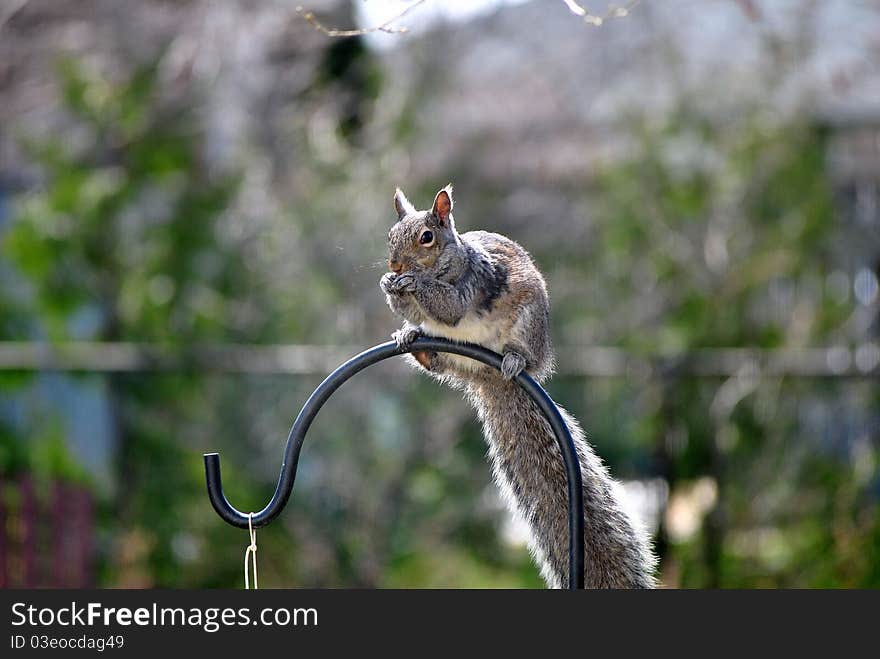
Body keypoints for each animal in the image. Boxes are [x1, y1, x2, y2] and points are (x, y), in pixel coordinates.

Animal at [382, 184, 656, 588]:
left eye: (426, 237)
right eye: (390, 236)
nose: (396, 267)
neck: (450, 261)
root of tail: (488, 374)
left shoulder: (472, 282)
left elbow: (449, 307)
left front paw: (414, 284)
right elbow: (416, 310)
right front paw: (391, 289)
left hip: (528, 326)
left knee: (519, 353)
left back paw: (513, 360)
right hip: (448, 352)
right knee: (436, 358)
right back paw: (414, 341)